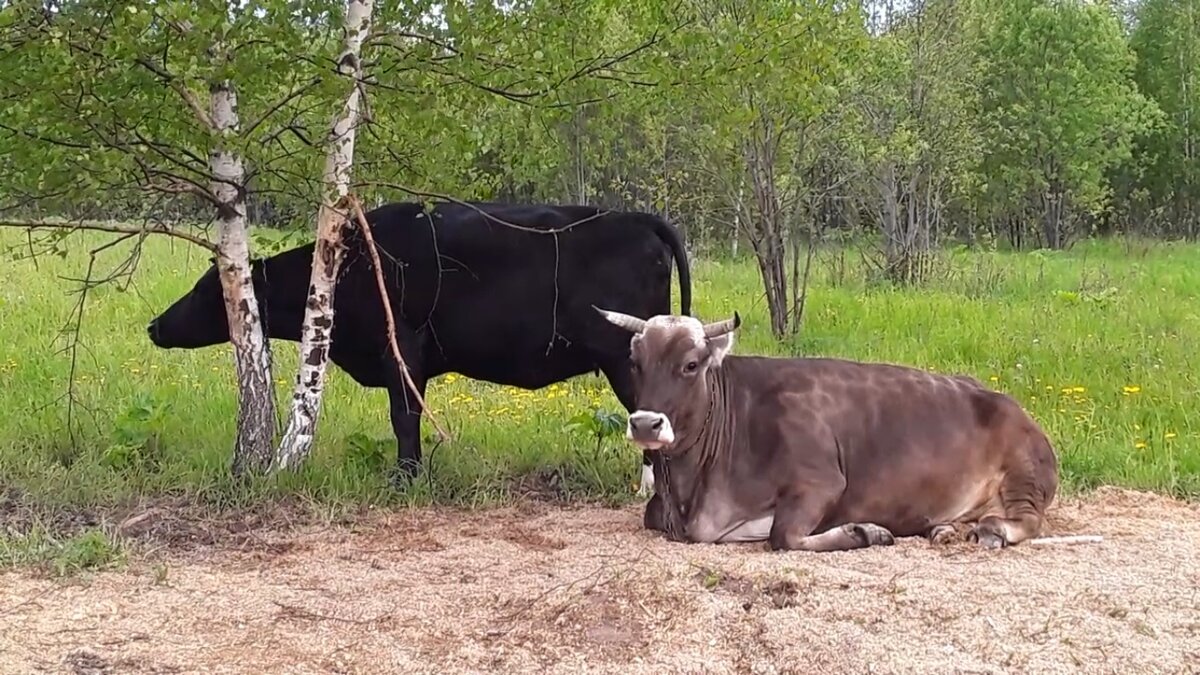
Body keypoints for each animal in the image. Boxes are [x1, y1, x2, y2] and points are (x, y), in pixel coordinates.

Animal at [150, 199, 696, 487]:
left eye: (203, 291)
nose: (154, 325)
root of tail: (635, 216)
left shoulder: (402, 354)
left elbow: (404, 418)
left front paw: (405, 477)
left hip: (625, 357)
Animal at [600, 307, 1099, 550]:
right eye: (635, 362)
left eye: (690, 364)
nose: (645, 423)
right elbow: (651, 515)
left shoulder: (822, 479)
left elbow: (783, 536)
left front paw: (865, 532)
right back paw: (942, 530)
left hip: (1024, 473)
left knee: (1024, 520)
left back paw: (991, 530)